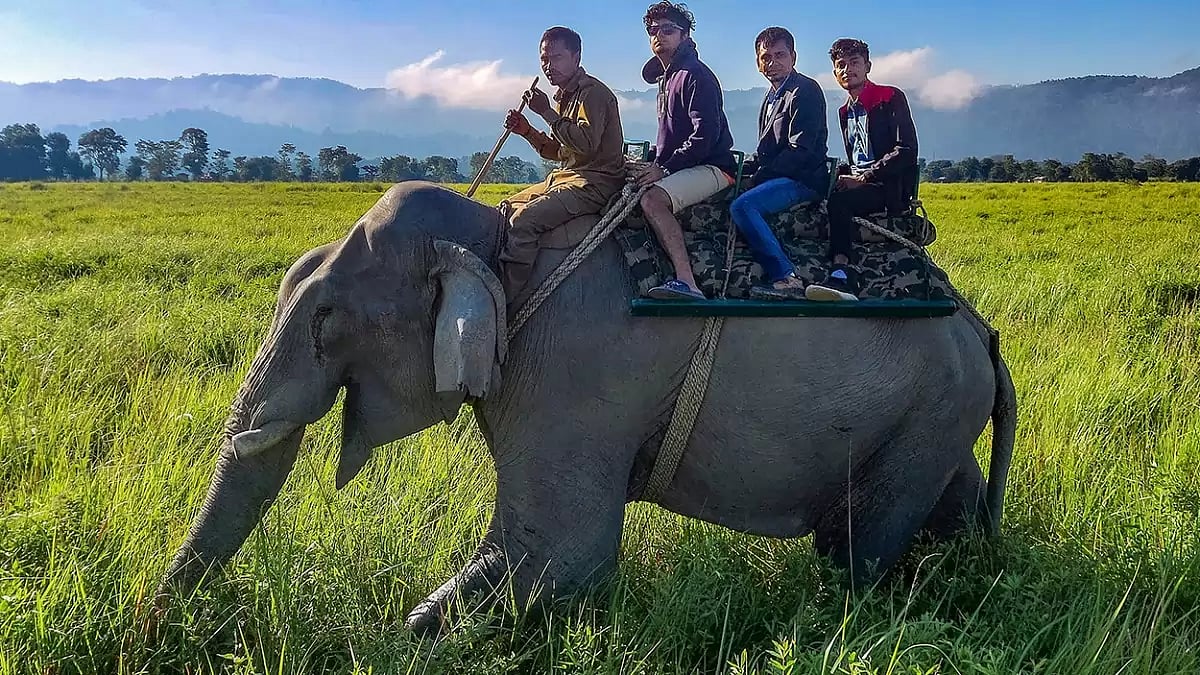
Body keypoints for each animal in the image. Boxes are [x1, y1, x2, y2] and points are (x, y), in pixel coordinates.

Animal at [161, 180, 1016, 633]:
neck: (498, 236)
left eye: (326, 320)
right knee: (947, 508)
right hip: (937, 416)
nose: (156, 621)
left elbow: (562, 556)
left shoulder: (573, 375)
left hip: (927, 413)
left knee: (856, 549)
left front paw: (401, 634)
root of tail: (982, 329)